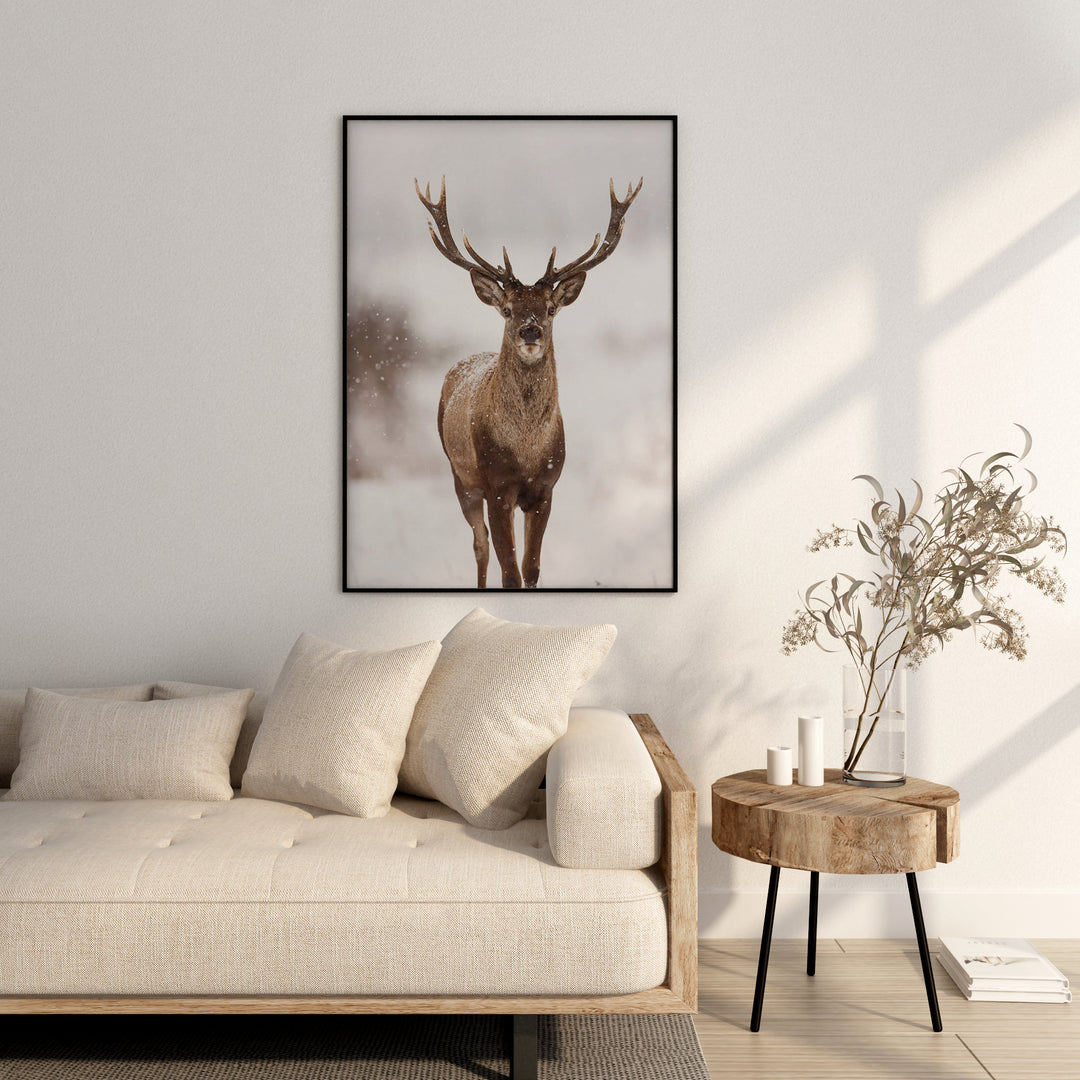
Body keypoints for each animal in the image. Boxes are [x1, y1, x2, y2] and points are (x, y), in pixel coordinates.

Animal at [416, 175, 642, 588]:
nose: (530, 330)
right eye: (508, 310)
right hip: (460, 475)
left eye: (550, 309)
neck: (525, 451)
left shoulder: (545, 488)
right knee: (479, 545)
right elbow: (510, 572)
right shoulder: (496, 487)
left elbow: (531, 567)